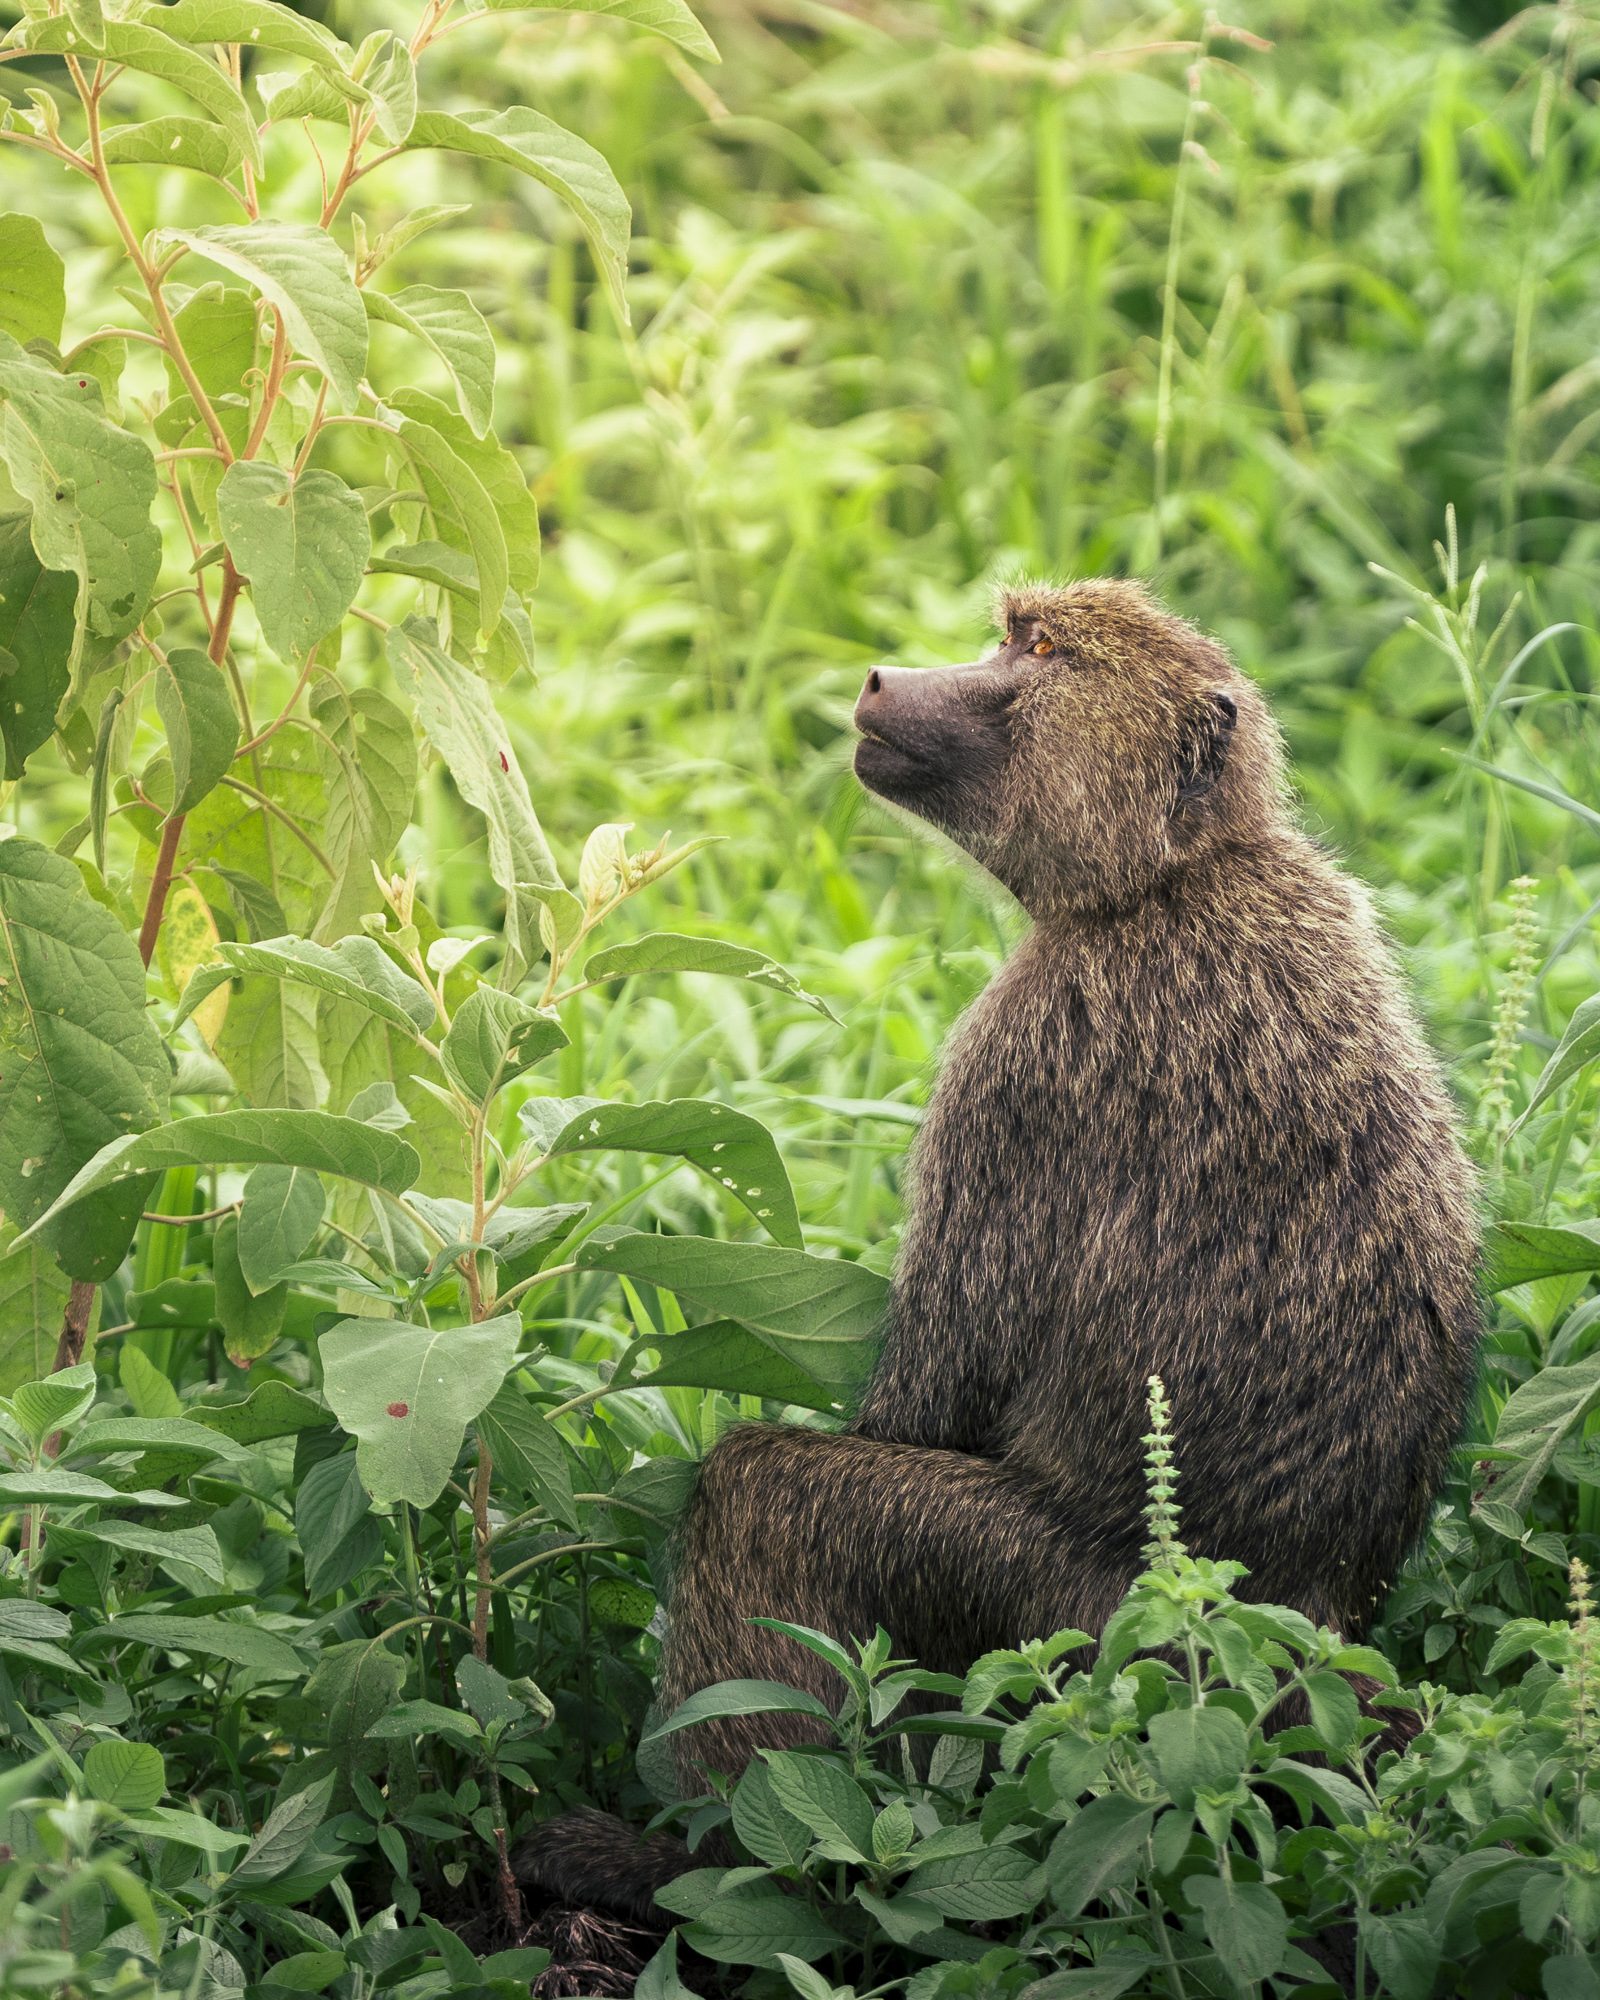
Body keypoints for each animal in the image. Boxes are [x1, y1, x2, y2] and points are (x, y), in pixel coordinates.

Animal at [516, 577, 1482, 1924]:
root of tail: (1291, 1633)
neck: (1172, 880)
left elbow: (921, 1403)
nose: (881, 679)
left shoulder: (1018, 1058)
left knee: (761, 1496)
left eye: (1037, 650)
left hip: (1057, 1608)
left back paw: (688, 1864)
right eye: (1009, 629)